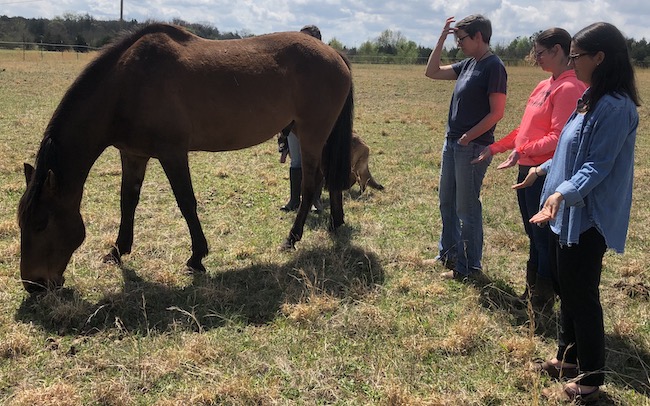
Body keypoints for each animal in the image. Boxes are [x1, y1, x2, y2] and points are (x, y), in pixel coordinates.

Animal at [17, 23, 352, 292]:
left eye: (42, 224)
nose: (34, 285)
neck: (128, 84)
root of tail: (334, 54)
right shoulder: (133, 154)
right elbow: (128, 200)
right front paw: (117, 250)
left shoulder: (173, 153)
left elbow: (186, 202)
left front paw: (197, 257)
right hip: (317, 135)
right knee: (329, 178)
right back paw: (335, 223)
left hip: (310, 135)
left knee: (310, 184)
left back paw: (292, 238)